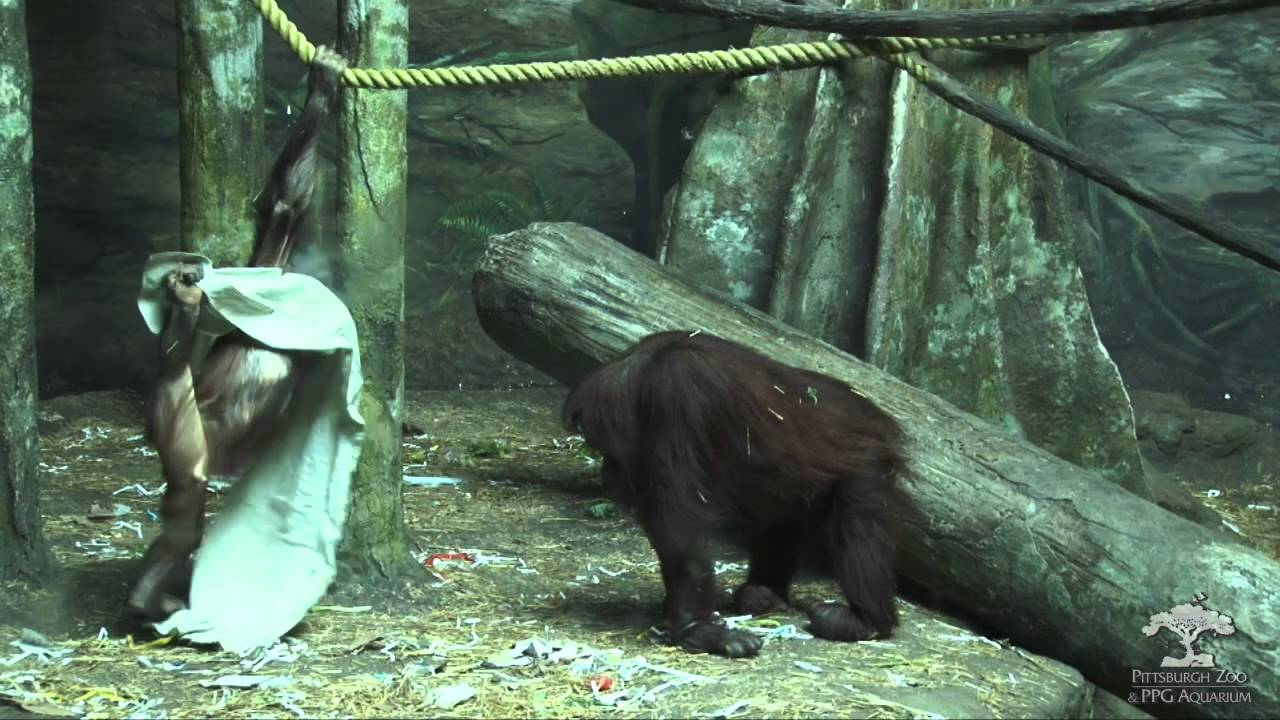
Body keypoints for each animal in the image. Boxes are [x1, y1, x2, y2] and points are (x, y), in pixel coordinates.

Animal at [127, 46, 349, 619]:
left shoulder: (273, 259)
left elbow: (285, 206)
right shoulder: (273, 265)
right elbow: (284, 209)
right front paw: (323, 86)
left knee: (181, 512)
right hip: (182, 436)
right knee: (187, 501)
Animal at [561, 330, 911, 658]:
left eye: (604, 448)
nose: (607, 473)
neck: (641, 373)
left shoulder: (676, 396)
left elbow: (679, 519)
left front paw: (698, 631)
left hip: (869, 464)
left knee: (859, 519)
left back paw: (865, 620)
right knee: (781, 516)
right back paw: (764, 595)